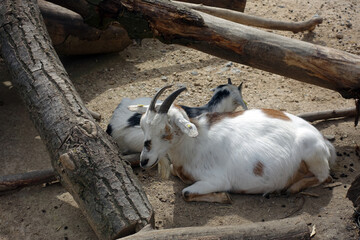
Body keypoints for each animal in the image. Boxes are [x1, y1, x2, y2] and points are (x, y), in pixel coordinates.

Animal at [129, 86, 338, 202]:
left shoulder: (216, 180)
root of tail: (323, 141)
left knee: (325, 177)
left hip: (312, 154)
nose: (144, 161)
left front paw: (224, 197)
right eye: (142, 126)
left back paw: (290, 188)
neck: (195, 144)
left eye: (165, 132)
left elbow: (186, 193)